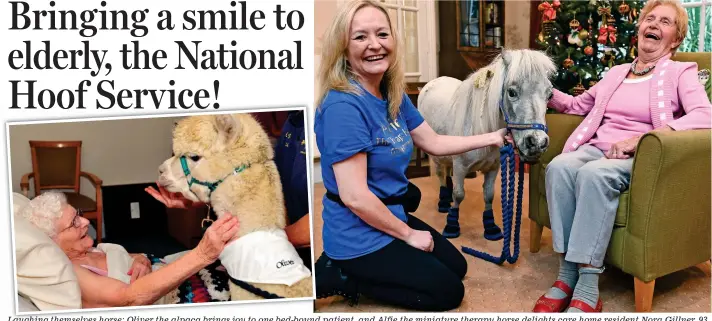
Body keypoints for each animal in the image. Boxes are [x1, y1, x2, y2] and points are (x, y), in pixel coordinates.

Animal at [418, 48, 556, 239]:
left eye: (550, 94)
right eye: (511, 92)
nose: (536, 143)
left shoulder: (493, 168)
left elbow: (488, 195)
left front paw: (490, 227)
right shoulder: (460, 166)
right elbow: (459, 194)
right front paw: (452, 226)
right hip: (436, 156)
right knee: (440, 174)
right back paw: (444, 202)